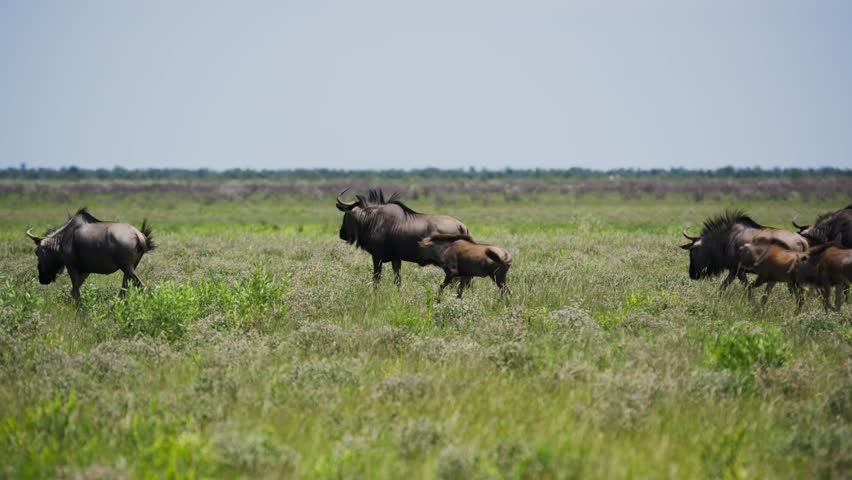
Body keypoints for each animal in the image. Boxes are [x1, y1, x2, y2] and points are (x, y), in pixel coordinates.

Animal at [26, 208, 155, 306]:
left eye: (37, 252)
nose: (42, 278)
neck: (61, 239)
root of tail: (138, 234)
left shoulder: (72, 267)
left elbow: (75, 292)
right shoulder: (86, 271)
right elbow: (73, 291)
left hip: (126, 267)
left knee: (141, 286)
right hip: (129, 269)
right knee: (124, 289)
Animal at [336, 189, 468, 285]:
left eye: (345, 216)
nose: (341, 234)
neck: (371, 219)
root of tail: (461, 225)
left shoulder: (377, 257)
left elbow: (376, 279)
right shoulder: (396, 259)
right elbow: (398, 280)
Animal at [680, 210, 808, 291]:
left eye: (692, 252)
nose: (692, 274)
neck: (726, 240)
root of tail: (801, 240)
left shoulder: (738, 270)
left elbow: (746, 289)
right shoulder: (733, 271)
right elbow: (723, 287)